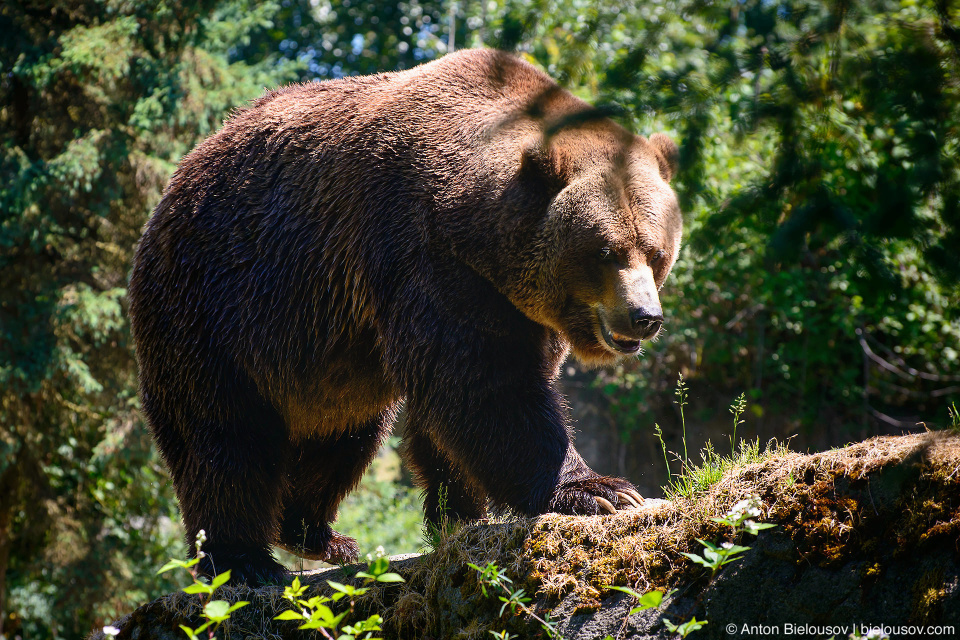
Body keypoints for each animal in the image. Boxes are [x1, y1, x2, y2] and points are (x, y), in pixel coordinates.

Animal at [129, 47, 684, 584]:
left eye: (656, 251)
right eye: (605, 251)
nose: (644, 316)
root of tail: (172, 187)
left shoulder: (512, 303)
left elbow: (455, 409)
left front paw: (458, 515)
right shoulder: (424, 253)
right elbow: (487, 385)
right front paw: (601, 490)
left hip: (324, 362)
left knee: (343, 434)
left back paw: (318, 535)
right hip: (211, 308)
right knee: (226, 437)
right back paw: (241, 557)